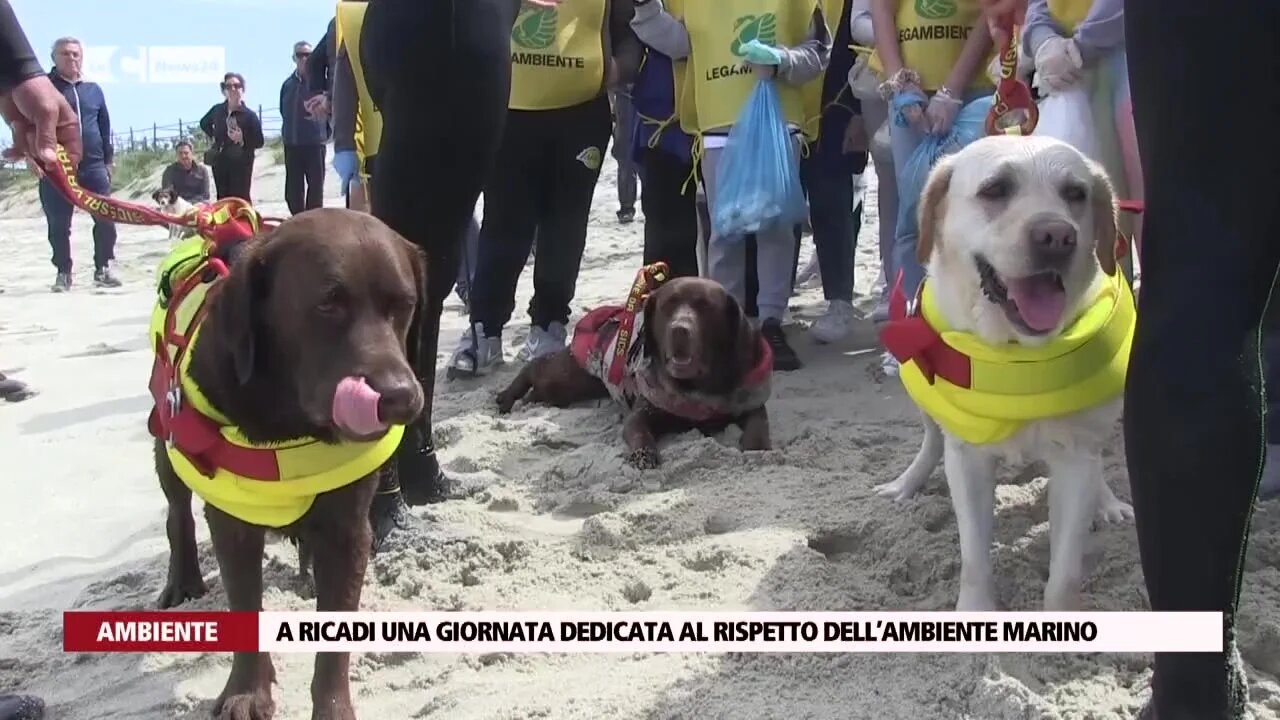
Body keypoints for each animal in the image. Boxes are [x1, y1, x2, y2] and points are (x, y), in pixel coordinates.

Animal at [145, 206, 424, 712]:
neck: (289, 423)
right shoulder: (233, 524)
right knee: (178, 511)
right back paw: (183, 580)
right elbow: (244, 608)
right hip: (165, 433)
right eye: (328, 303)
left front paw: (333, 709)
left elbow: (334, 643)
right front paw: (246, 693)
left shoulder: (348, 531)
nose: (399, 397)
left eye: (405, 304)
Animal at [494, 272, 773, 466]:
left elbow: (759, 424)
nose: (680, 329)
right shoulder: (642, 414)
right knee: (535, 367)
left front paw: (757, 449)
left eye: (705, 306)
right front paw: (643, 455)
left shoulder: (749, 401)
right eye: (668, 306)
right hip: (566, 376)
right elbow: (639, 432)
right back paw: (507, 397)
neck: (695, 387)